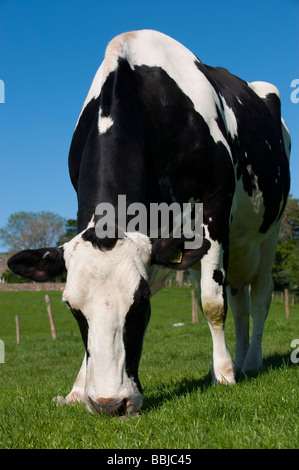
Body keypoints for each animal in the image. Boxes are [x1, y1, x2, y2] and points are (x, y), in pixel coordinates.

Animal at [8, 31, 290, 416]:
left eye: (140, 303)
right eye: (70, 307)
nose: (110, 404)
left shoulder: (214, 204)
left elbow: (211, 302)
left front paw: (224, 375)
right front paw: (78, 390)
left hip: (268, 233)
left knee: (258, 297)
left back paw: (248, 363)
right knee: (239, 299)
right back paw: (241, 356)